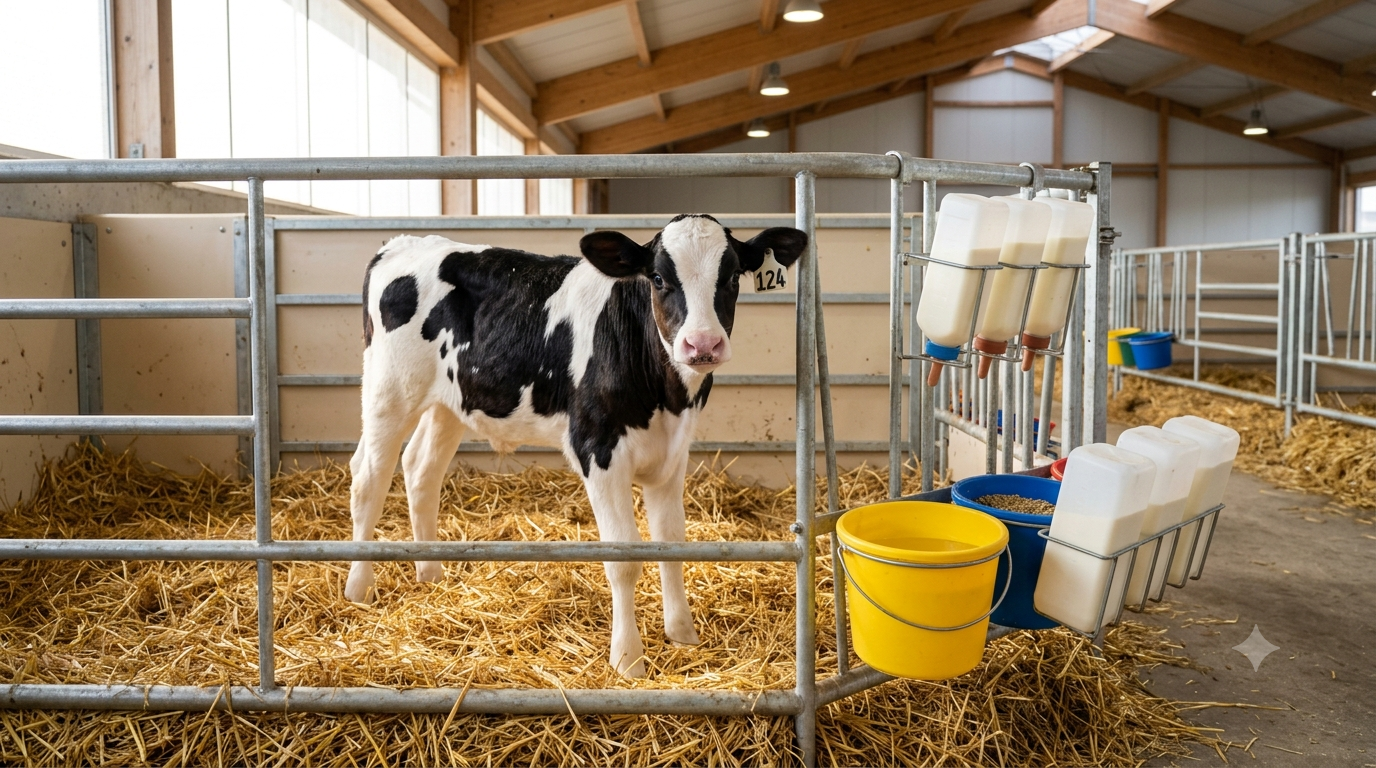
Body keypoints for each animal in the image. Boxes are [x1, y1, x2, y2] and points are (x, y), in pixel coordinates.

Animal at [345, 215, 808, 677]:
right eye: (658, 278)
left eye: (731, 276)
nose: (703, 345)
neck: (667, 396)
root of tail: (402, 241)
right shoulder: (598, 449)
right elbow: (624, 558)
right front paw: (628, 660)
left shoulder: (673, 454)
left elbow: (671, 542)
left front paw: (682, 635)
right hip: (389, 391)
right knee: (368, 479)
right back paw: (358, 588)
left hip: (451, 402)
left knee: (420, 469)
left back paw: (430, 573)